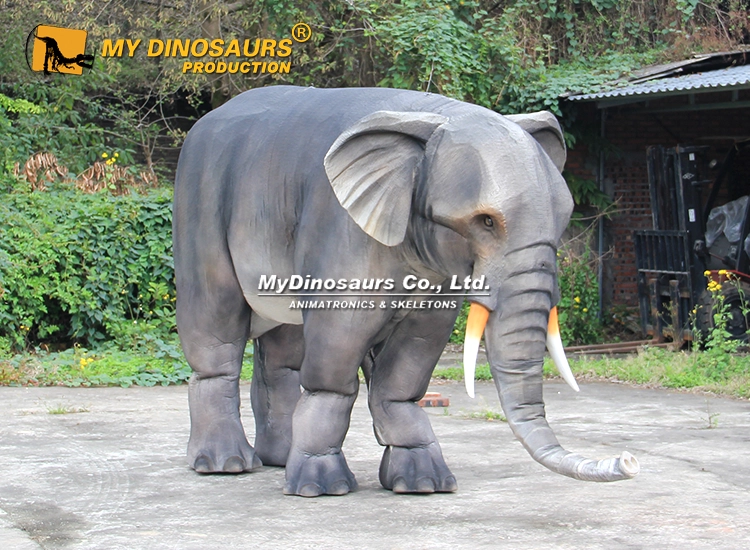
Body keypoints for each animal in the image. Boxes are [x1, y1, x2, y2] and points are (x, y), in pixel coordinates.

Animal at [173, 85, 639, 497]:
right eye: (486, 221)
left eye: (563, 219)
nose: (629, 460)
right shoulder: (340, 229)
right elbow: (337, 346)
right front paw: (320, 487)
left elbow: (413, 355)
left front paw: (422, 483)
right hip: (200, 211)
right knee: (217, 338)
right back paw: (226, 464)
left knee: (282, 351)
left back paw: (278, 459)